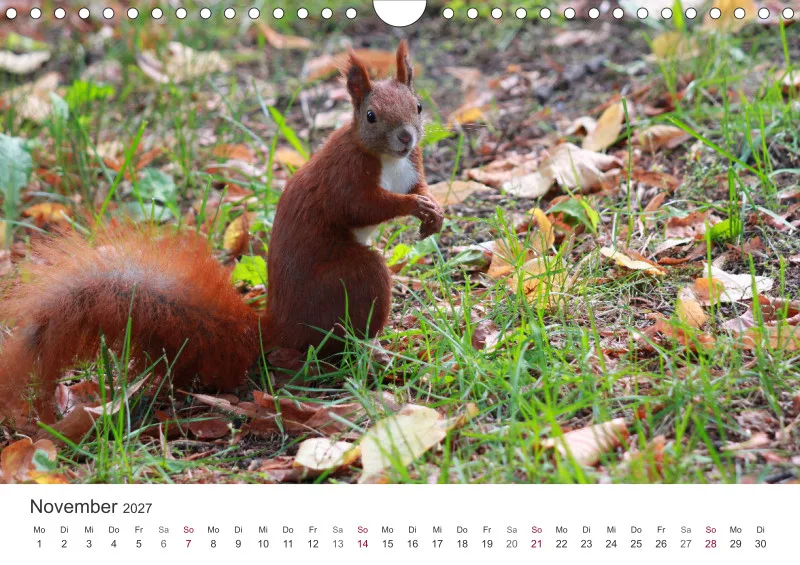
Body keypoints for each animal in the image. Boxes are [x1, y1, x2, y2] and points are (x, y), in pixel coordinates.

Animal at [0, 40, 444, 430]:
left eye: (419, 106)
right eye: (370, 116)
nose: (407, 137)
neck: (387, 159)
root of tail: (278, 326)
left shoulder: (413, 163)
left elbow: (418, 184)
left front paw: (433, 211)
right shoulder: (346, 178)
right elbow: (363, 207)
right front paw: (413, 207)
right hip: (350, 279)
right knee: (335, 336)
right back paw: (371, 351)